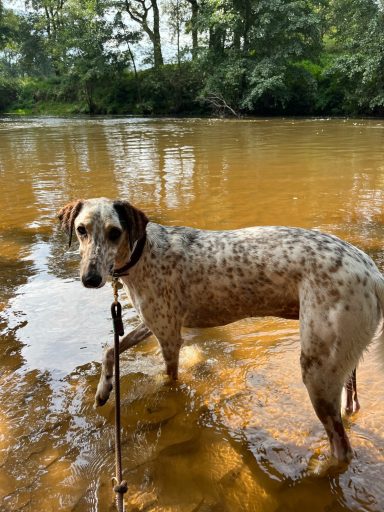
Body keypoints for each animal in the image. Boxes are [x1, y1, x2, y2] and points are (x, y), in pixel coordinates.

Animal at [57, 197, 384, 468]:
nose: (90, 278)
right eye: (81, 230)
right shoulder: (155, 324)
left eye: (114, 232)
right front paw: (103, 390)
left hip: (317, 372)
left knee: (342, 448)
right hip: (340, 363)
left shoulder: (169, 338)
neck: (143, 252)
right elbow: (110, 350)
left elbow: (168, 379)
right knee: (351, 404)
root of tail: (373, 273)